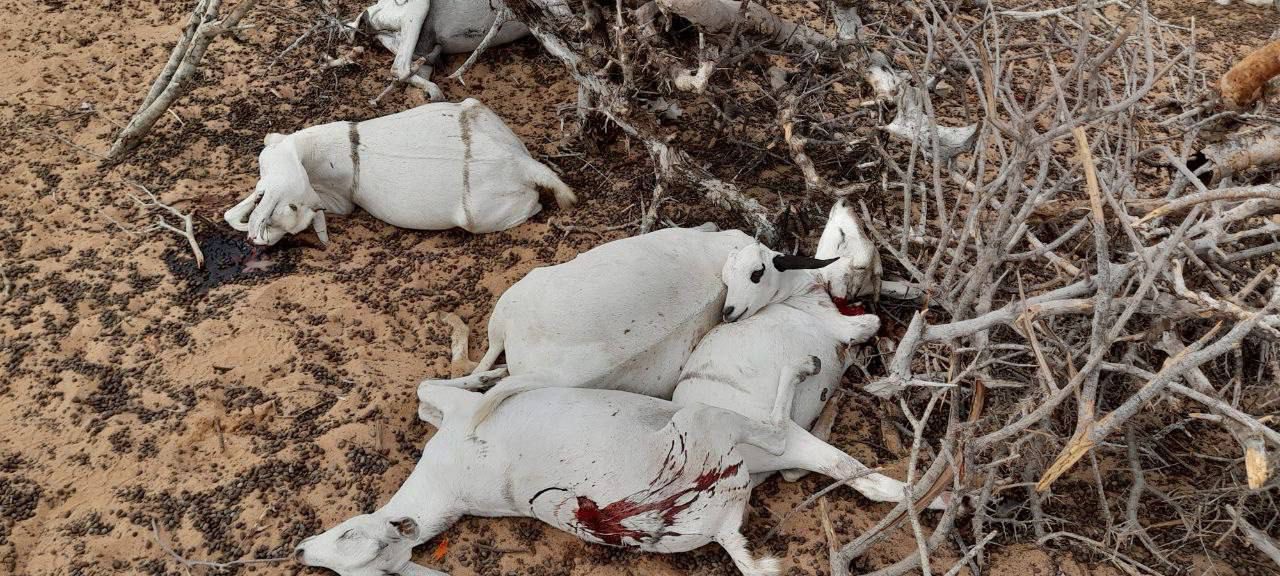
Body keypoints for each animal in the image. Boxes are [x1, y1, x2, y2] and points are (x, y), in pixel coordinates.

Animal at [225, 99, 576, 245]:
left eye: (291, 206)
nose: (256, 237)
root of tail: (520, 163)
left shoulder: (337, 200)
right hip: (477, 108)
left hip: (480, 217)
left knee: (534, 207)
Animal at [295, 358, 824, 573]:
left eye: (347, 533)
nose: (300, 551)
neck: (448, 488)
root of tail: (719, 526)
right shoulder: (461, 418)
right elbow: (429, 388)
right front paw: (491, 375)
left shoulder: (452, 417)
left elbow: (426, 393)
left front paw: (490, 372)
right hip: (705, 421)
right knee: (778, 433)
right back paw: (803, 368)